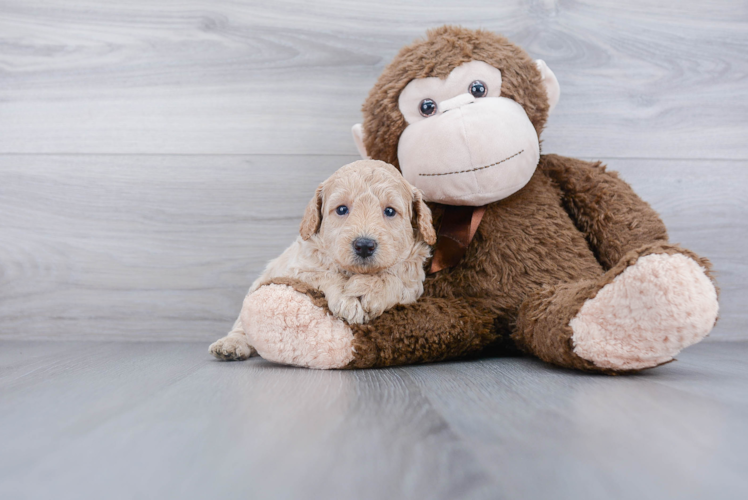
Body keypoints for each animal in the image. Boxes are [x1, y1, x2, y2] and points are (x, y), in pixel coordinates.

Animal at [207, 160, 436, 360]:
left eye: (389, 211)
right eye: (342, 209)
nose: (364, 245)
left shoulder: (413, 282)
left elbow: (394, 279)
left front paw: (366, 291)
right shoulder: (299, 269)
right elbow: (327, 275)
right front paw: (347, 298)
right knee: (241, 326)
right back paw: (230, 345)